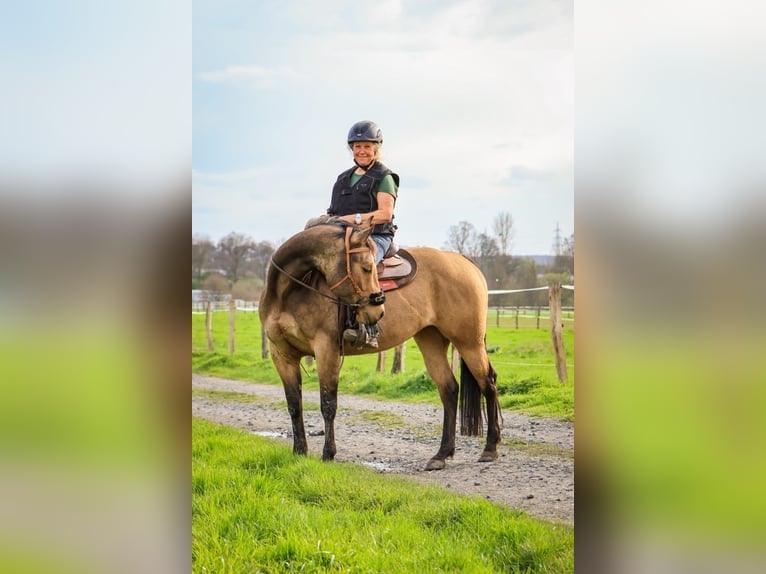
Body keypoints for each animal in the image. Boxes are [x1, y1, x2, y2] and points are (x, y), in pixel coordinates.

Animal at [260, 220, 504, 472]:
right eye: (367, 268)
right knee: (449, 389)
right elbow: (293, 404)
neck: (288, 292)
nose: (379, 310)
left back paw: (490, 448)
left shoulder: (326, 350)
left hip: (469, 342)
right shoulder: (282, 355)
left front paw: (328, 454)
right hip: (431, 340)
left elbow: (328, 404)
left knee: (488, 382)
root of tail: (464, 262)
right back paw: (441, 454)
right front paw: (299, 451)